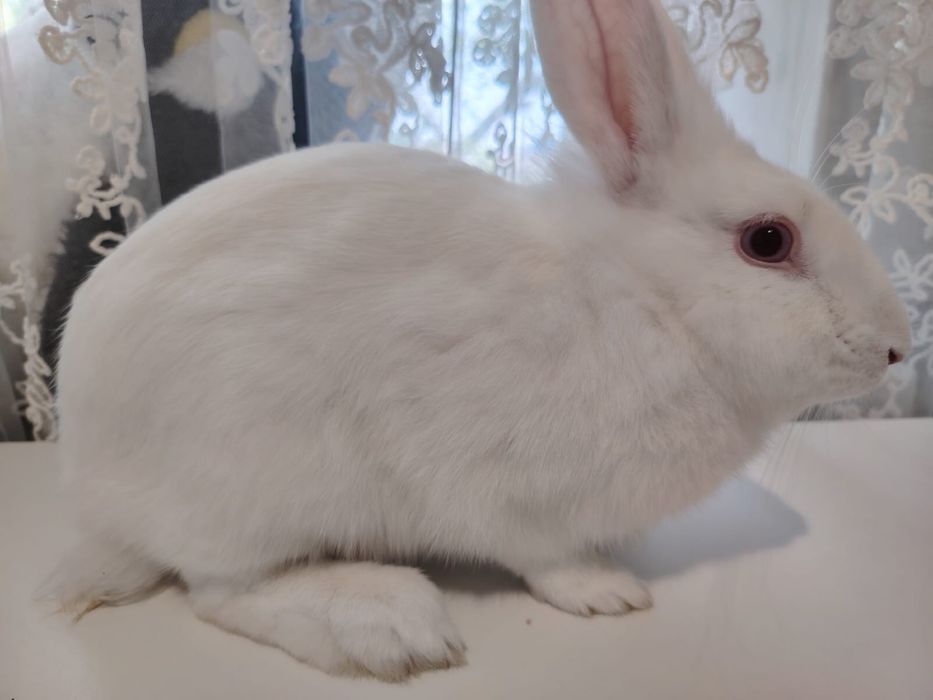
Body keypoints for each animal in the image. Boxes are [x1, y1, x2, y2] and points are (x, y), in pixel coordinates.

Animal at [43, 0, 911, 681]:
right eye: (767, 241)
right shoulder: (506, 491)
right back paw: (391, 625)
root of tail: (92, 495)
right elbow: (543, 558)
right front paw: (608, 593)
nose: (896, 347)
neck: (644, 300)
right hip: (250, 478)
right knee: (219, 591)